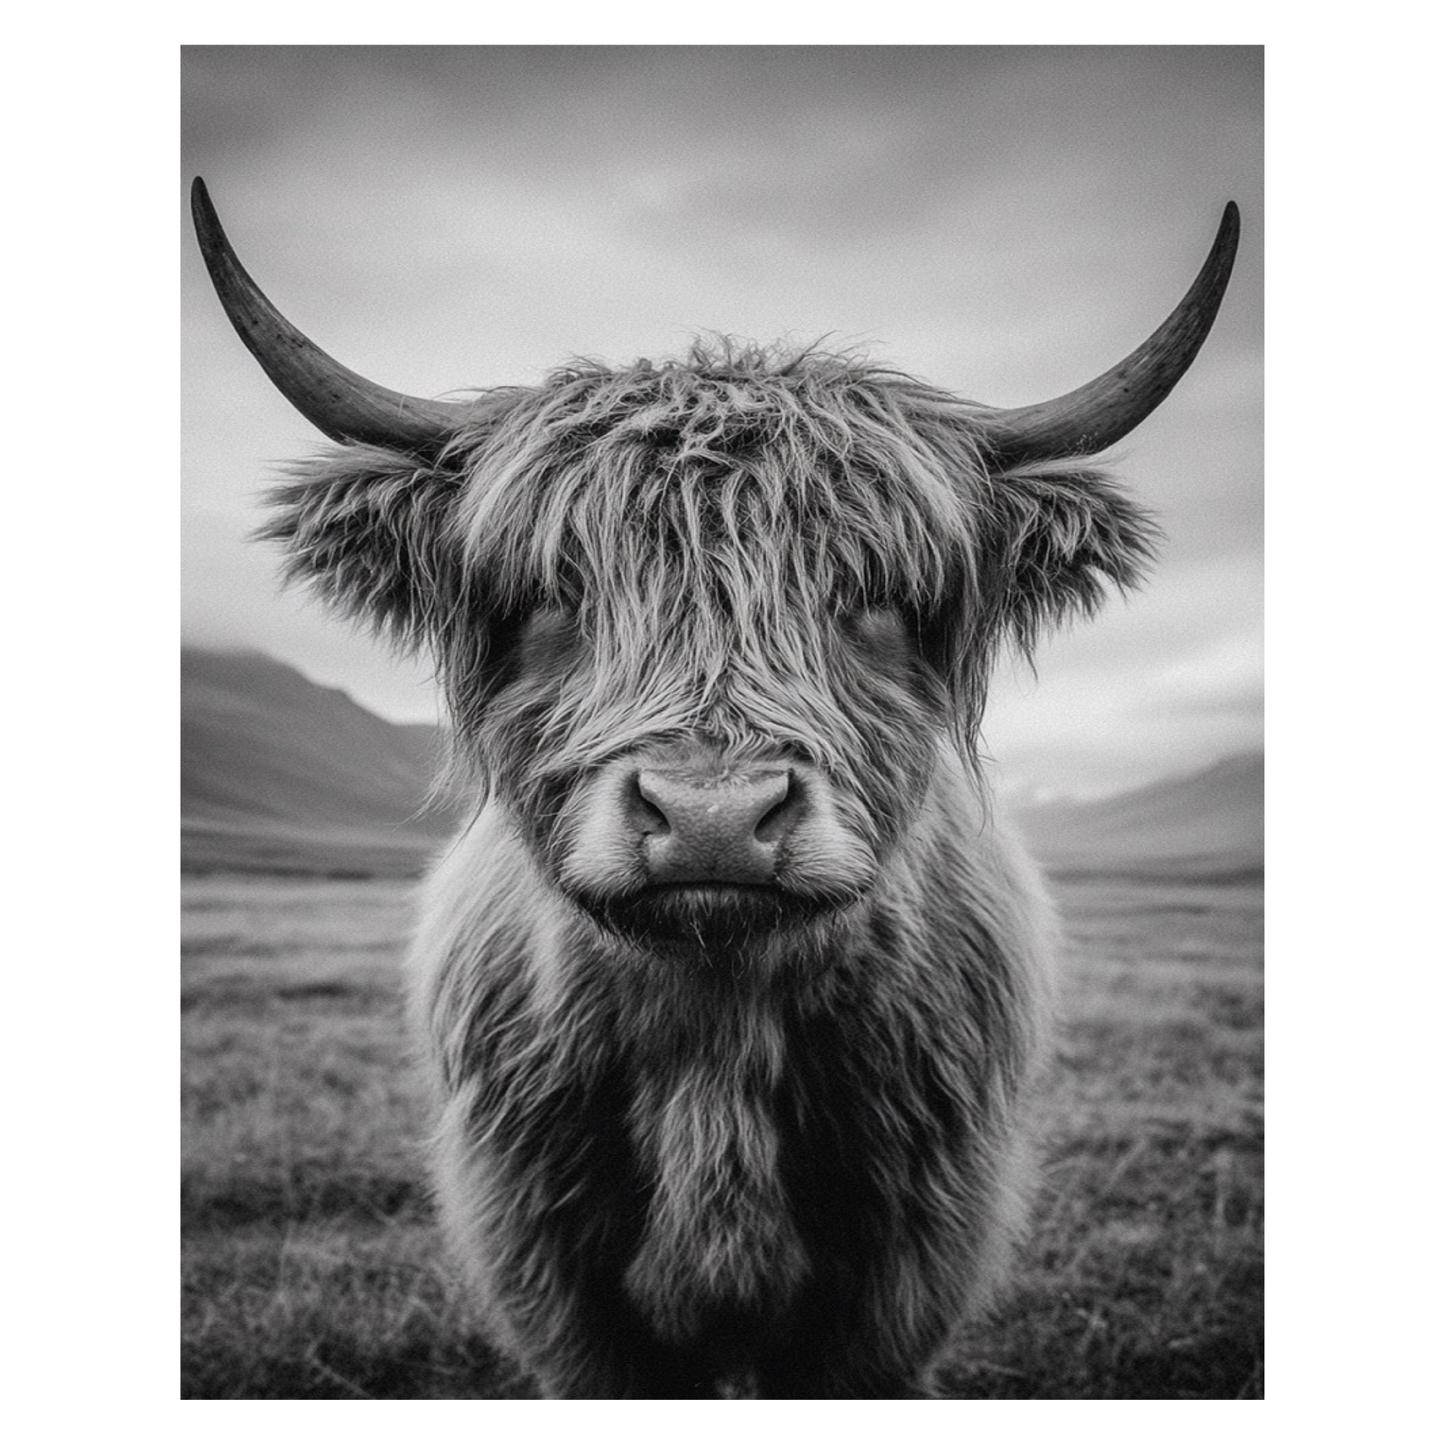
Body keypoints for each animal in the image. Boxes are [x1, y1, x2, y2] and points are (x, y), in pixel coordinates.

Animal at [191, 179, 1238, 1398]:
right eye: (556, 594)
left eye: (871, 597)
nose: (711, 821)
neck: (714, 1023)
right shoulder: (555, 1282)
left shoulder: (898, 1280)